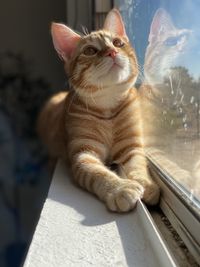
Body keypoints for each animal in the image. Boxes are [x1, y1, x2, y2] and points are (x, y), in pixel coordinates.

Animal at [38, 8, 159, 214]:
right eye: (90, 50)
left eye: (118, 43)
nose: (112, 51)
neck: (108, 109)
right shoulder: (84, 154)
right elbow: (99, 174)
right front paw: (120, 188)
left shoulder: (131, 147)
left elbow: (138, 165)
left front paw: (146, 183)